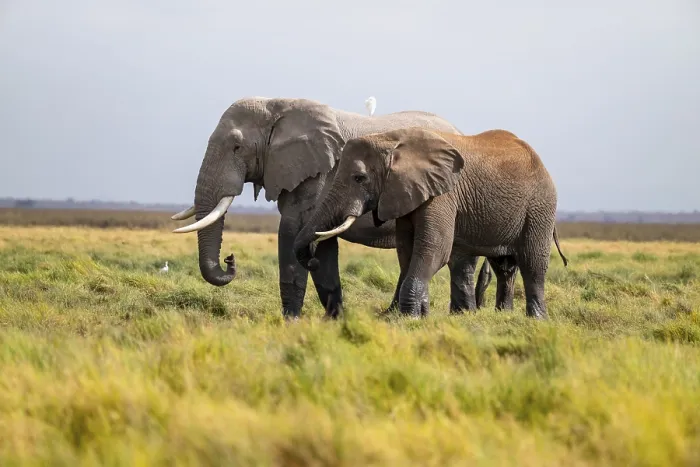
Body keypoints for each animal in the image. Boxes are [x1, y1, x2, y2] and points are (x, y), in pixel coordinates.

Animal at [170, 97, 497, 319]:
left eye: (237, 147)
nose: (230, 259)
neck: (278, 105)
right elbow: (320, 241)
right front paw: (333, 321)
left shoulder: (320, 174)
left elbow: (293, 231)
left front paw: (290, 322)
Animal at [294, 127, 569, 319]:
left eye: (359, 178)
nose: (313, 259)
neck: (391, 139)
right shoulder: (405, 193)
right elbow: (407, 251)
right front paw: (421, 316)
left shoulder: (442, 194)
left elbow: (433, 249)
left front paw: (410, 318)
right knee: (498, 266)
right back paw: (493, 316)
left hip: (540, 206)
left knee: (533, 263)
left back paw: (536, 320)